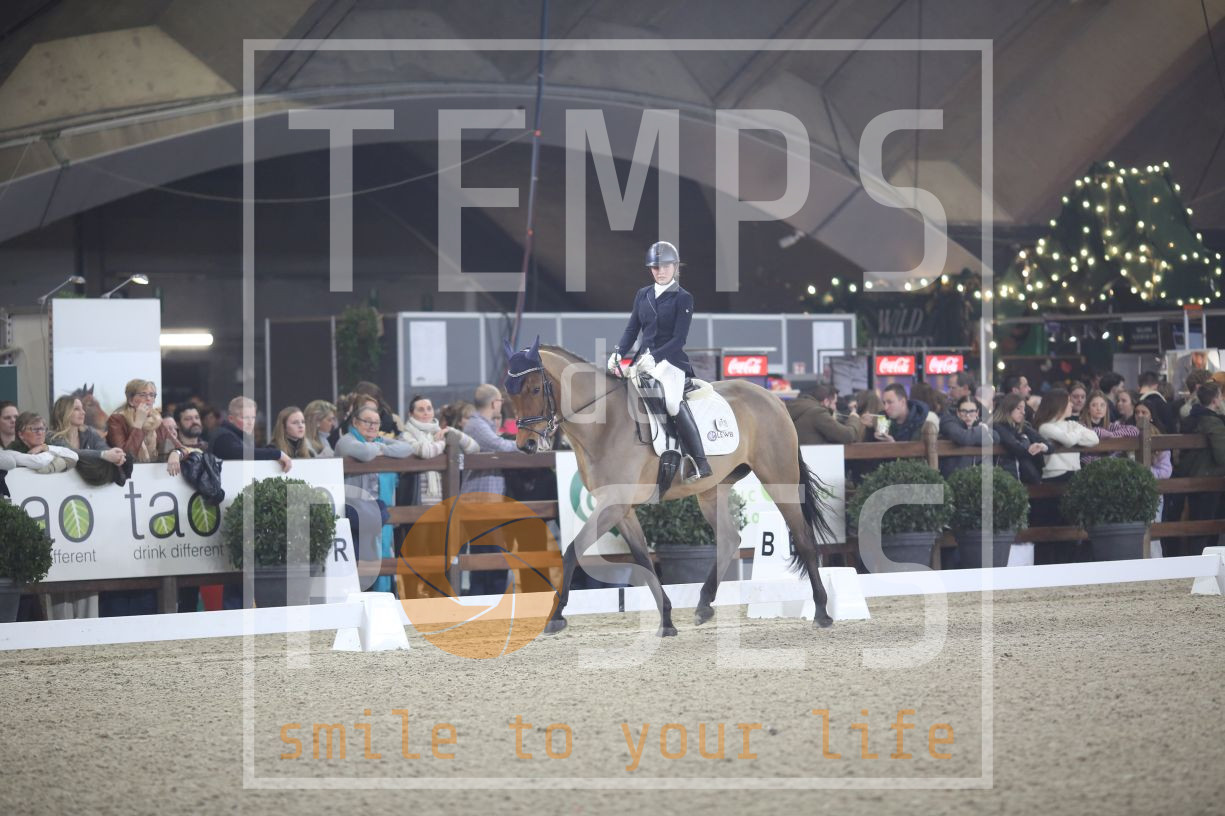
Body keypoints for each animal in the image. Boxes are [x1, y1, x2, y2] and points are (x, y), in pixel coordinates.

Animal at [503, 338, 836, 636]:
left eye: (535, 389)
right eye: (509, 394)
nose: (526, 445)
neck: (604, 425)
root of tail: (774, 400)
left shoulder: (613, 504)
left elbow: (572, 552)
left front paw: (556, 617)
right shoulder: (622, 510)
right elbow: (643, 560)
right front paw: (666, 620)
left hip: (779, 479)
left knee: (803, 537)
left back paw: (822, 612)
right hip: (712, 490)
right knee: (730, 540)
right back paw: (703, 606)